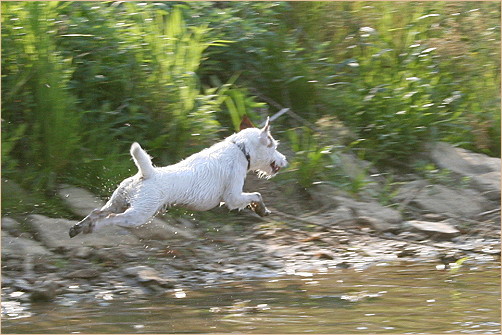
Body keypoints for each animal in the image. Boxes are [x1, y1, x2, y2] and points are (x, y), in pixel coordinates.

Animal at [68, 117, 286, 238]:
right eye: (274, 146)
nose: (284, 160)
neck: (240, 148)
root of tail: (147, 174)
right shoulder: (233, 197)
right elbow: (256, 195)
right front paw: (262, 209)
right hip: (138, 215)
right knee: (110, 219)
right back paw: (90, 228)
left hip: (118, 201)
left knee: (97, 211)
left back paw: (78, 227)